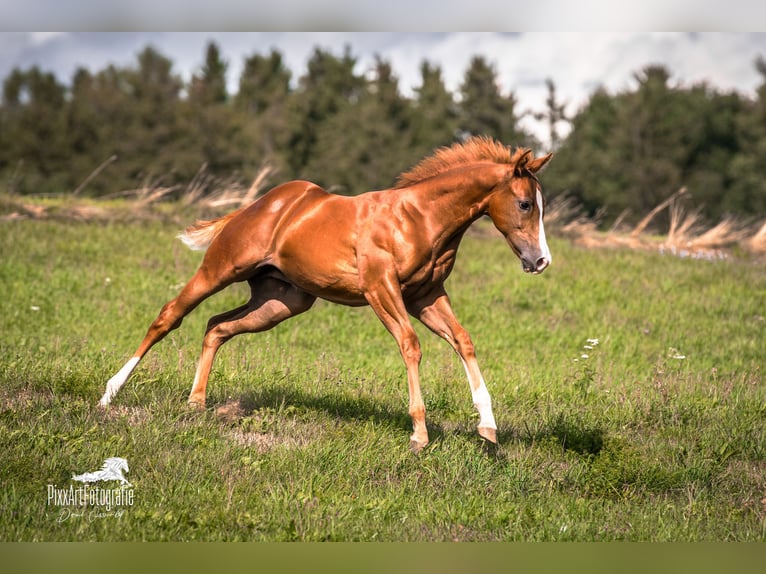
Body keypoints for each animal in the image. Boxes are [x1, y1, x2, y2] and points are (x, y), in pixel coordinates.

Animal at [99, 136, 553, 452]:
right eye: (525, 204)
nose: (540, 261)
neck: (419, 218)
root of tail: (255, 207)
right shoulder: (381, 289)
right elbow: (410, 345)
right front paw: (419, 434)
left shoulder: (426, 295)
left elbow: (463, 340)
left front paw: (488, 428)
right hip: (221, 270)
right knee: (169, 315)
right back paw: (110, 395)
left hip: (280, 301)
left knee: (216, 327)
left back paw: (196, 403)